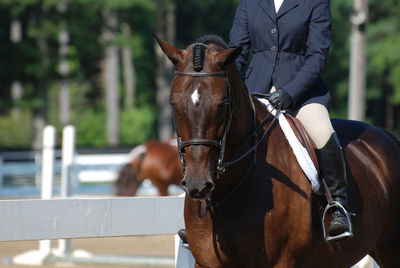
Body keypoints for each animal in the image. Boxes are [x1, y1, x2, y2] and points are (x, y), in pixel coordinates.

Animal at [155, 34, 400, 268]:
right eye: (173, 103)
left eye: (223, 103)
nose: (197, 184)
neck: (230, 189)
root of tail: (386, 135)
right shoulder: (207, 262)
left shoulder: (282, 261)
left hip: (389, 251)